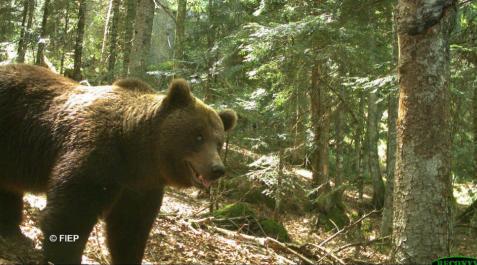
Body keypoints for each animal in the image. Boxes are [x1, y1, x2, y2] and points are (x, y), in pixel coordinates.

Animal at [0, 63, 236, 262]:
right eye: (198, 136)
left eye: (219, 142)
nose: (217, 169)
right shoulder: (96, 156)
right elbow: (71, 213)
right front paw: (62, 256)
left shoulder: (140, 186)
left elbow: (130, 229)